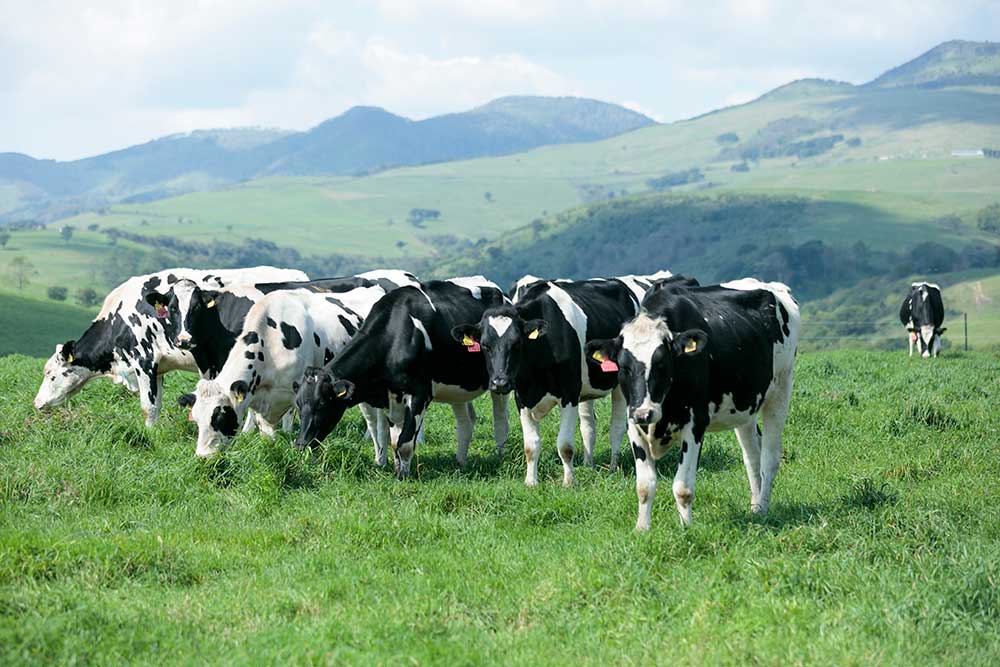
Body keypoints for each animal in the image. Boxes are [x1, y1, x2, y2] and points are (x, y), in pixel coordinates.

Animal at [33, 264, 306, 426]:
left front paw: (149, 435)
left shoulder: (143, 360)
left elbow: (149, 406)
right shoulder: (159, 367)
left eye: (51, 375)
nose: (36, 403)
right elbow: (158, 403)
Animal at [180, 282, 386, 460]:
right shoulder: (257, 396)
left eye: (220, 416)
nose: (203, 456)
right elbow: (265, 428)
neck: (270, 342)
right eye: (196, 419)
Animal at [290, 280, 508, 478]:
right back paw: (461, 462)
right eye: (299, 405)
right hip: (457, 385)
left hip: (499, 380)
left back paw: (500, 457)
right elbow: (395, 440)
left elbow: (405, 441)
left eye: (322, 403)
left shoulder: (420, 393)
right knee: (466, 420)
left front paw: (403, 477)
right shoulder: (391, 397)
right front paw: (398, 469)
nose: (300, 444)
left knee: (500, 418)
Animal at [454, 280, 640, 488]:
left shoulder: (569, 394)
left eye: (517, 343)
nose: (500, 383)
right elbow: (530, 445)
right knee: (588, 425)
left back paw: (613, 468)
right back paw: (588, 464)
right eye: (485, 345)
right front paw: (530, 482)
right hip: (586, 389)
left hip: (620, 384)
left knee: (617, 426)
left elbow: (565, 445)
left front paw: (569, 482)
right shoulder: (522, 398)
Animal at [584, 278, 800, 532]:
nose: (644, 413)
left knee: (769, 458)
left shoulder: (695, 423)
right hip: (744, 406)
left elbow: (682, 487)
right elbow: (644, 486)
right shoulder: (633, 424)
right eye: (624, 367)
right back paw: (755, 508)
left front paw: (686, 527)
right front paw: (642, 528)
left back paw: (764, 508)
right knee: (752, 457)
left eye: (661, 363)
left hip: (781, 390)